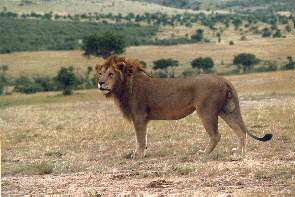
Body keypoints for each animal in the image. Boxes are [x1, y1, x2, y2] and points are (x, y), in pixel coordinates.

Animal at [96, 55, 274, 159]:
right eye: (101, 73)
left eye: (111, 74)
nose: (100, 83)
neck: (124, 85)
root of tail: (222, 78)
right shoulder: (142, 118)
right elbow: (143, 138)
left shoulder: (139, 117)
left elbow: (140, 139)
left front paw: (137, 155)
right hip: (226, 110)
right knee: (241, 131)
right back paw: (239, 153)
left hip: (206, 110)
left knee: (216, 135)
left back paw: (203, 154)